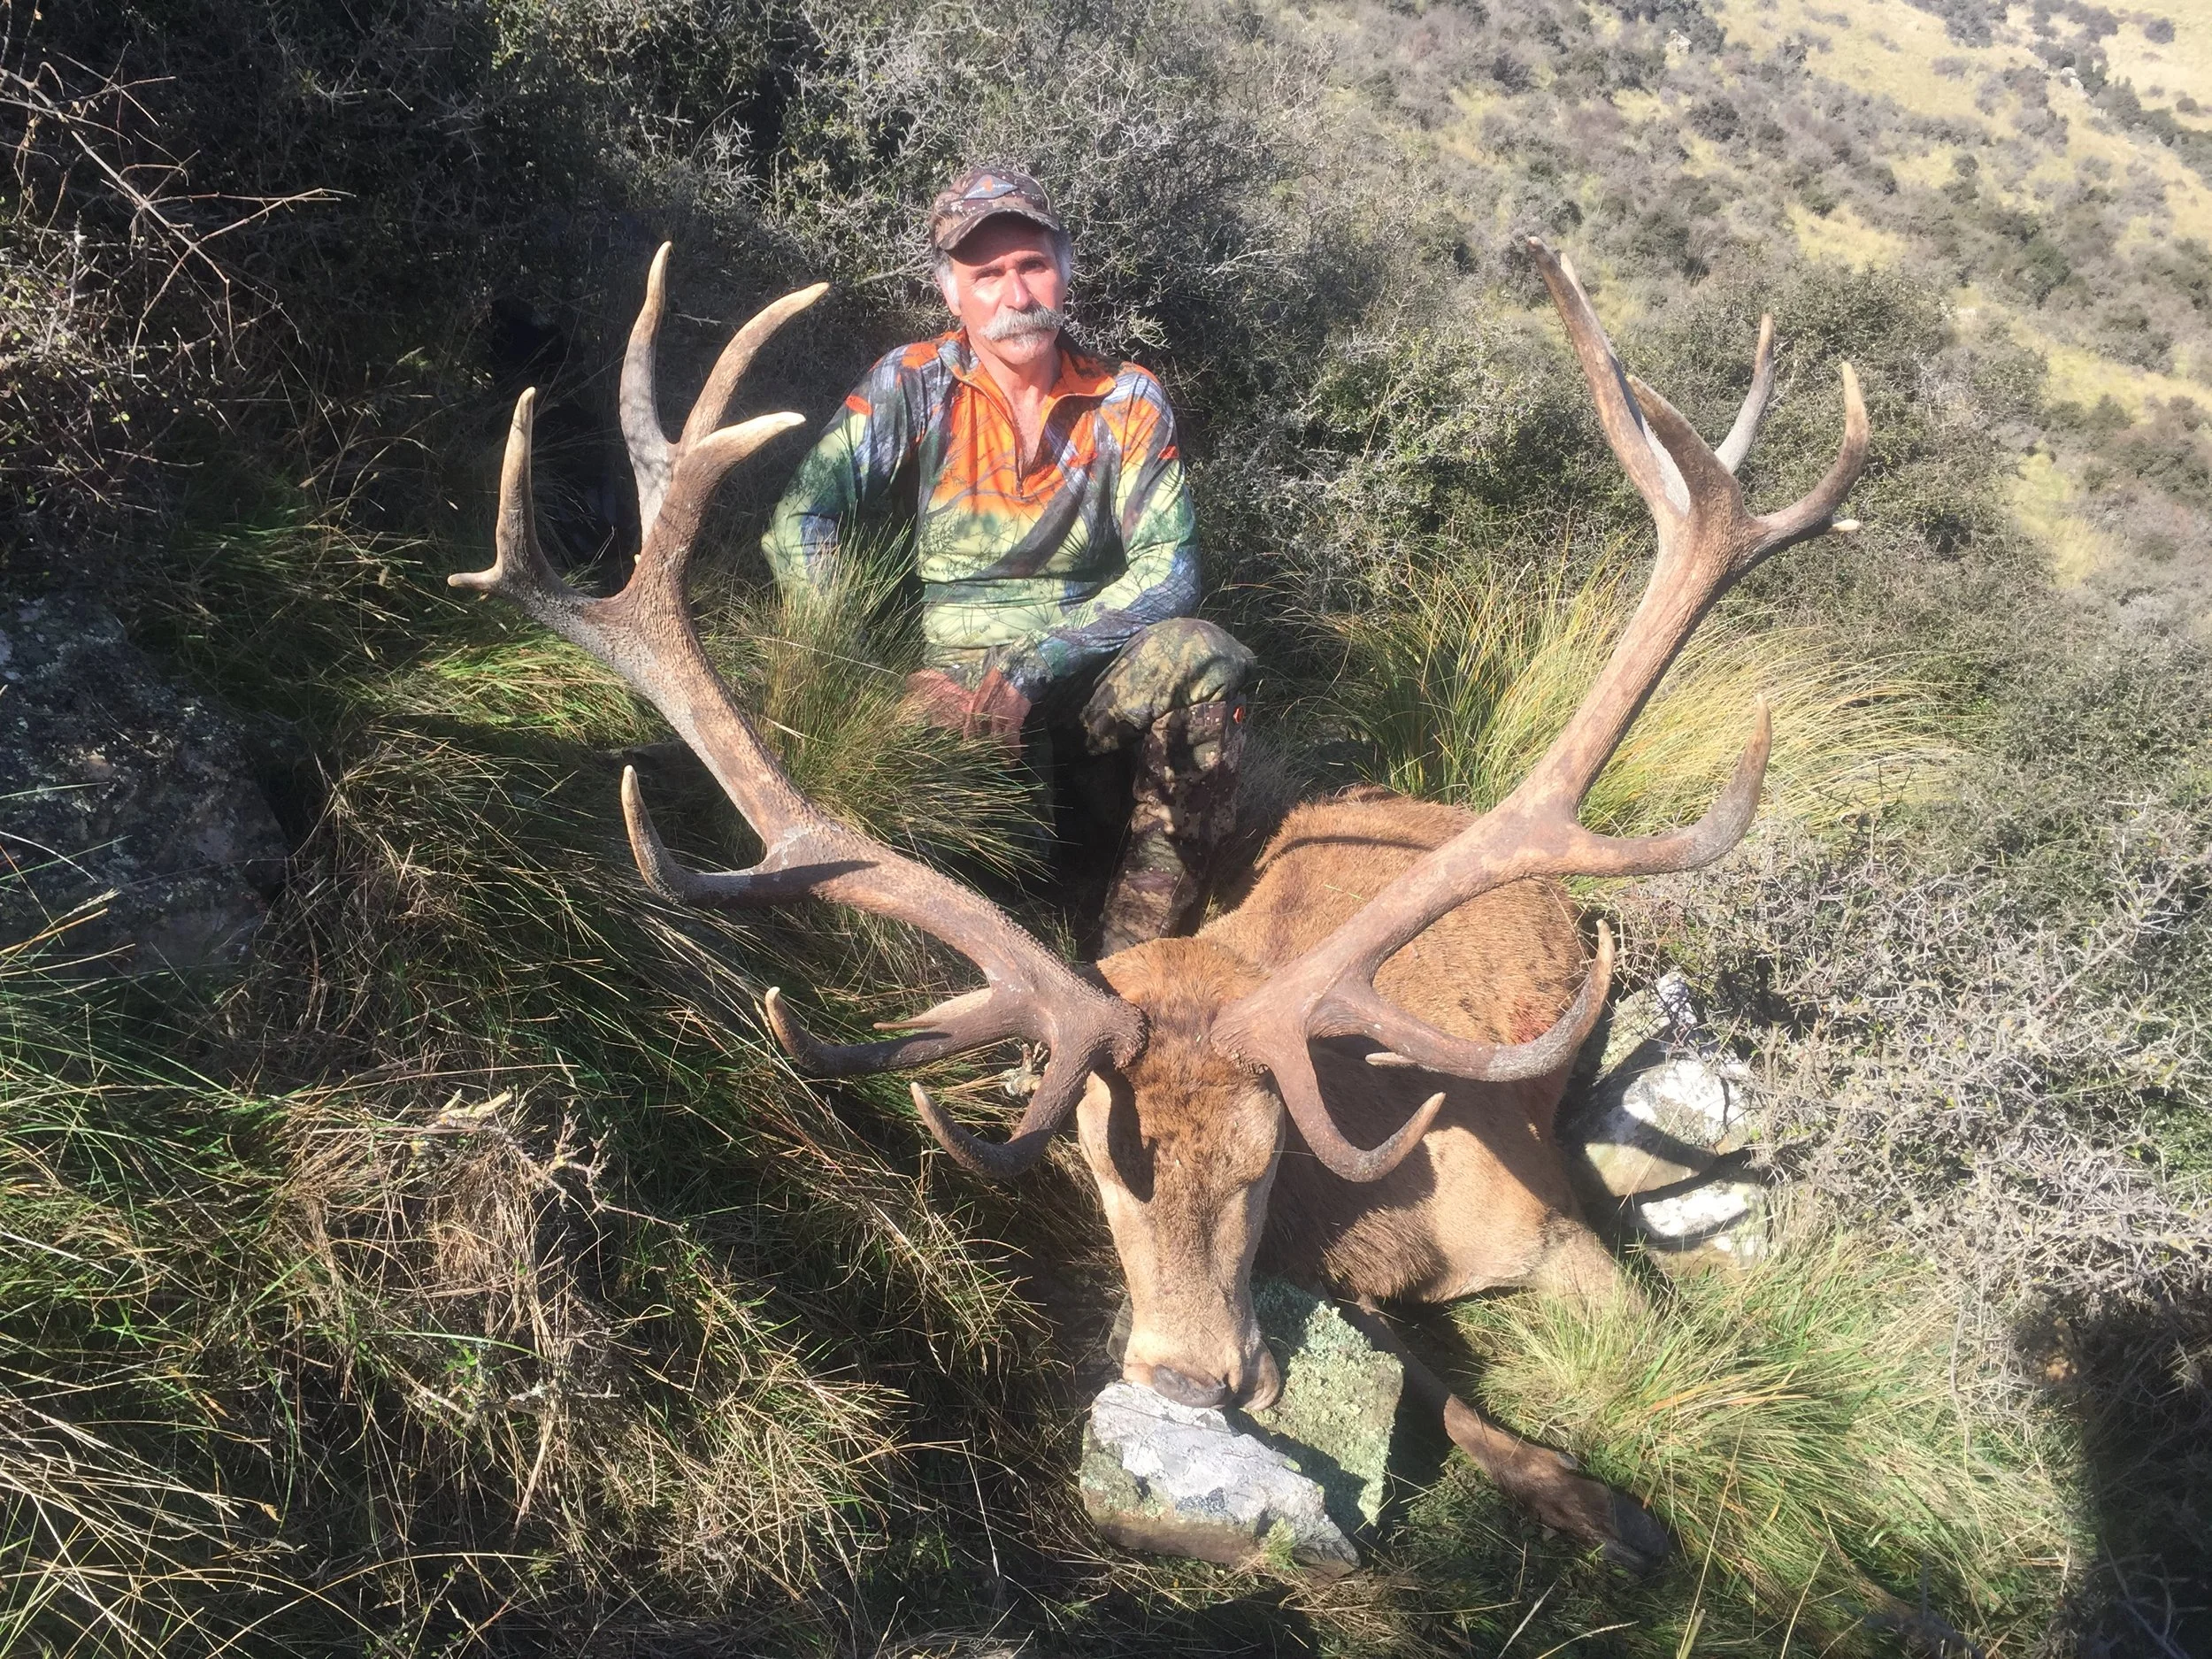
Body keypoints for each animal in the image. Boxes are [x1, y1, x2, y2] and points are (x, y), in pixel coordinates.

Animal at [452, 238, 1866, 1572]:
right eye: (1093, 1159)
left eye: (1267, 1155)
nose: (1191, 1377)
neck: (1377, 1216)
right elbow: (1446, 1399)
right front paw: (1587, 1499)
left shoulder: (1550, 1225)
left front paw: (1637, 1517)